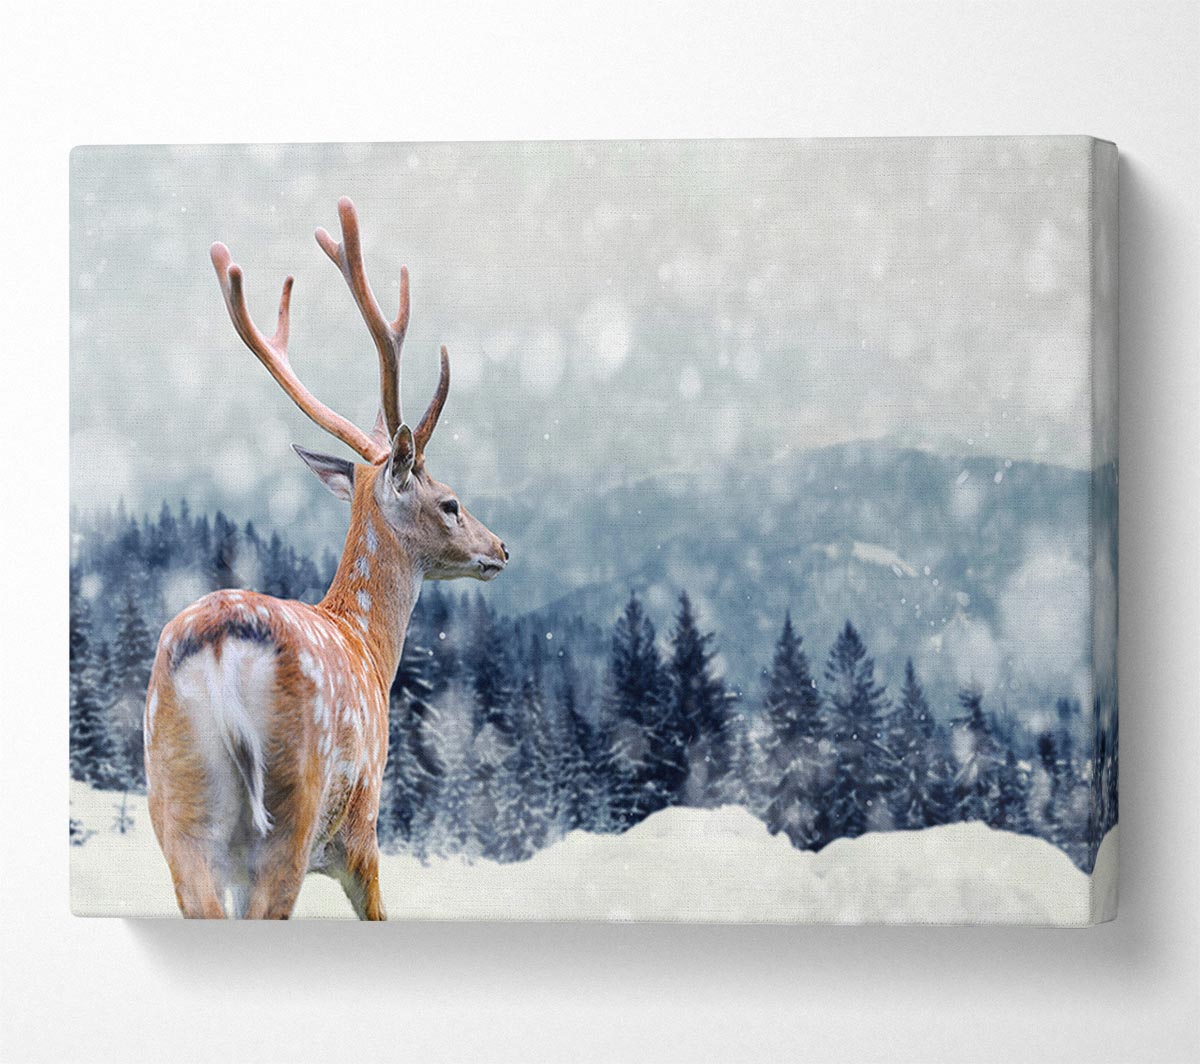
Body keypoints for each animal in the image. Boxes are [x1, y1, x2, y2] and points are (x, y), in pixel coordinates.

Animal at [144, 198, 508, 919]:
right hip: (293, 808)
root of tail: (220, 650)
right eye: (451, 503)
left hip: (176, 811)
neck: (368, 646)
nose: (501, 548)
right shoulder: (361, 830)